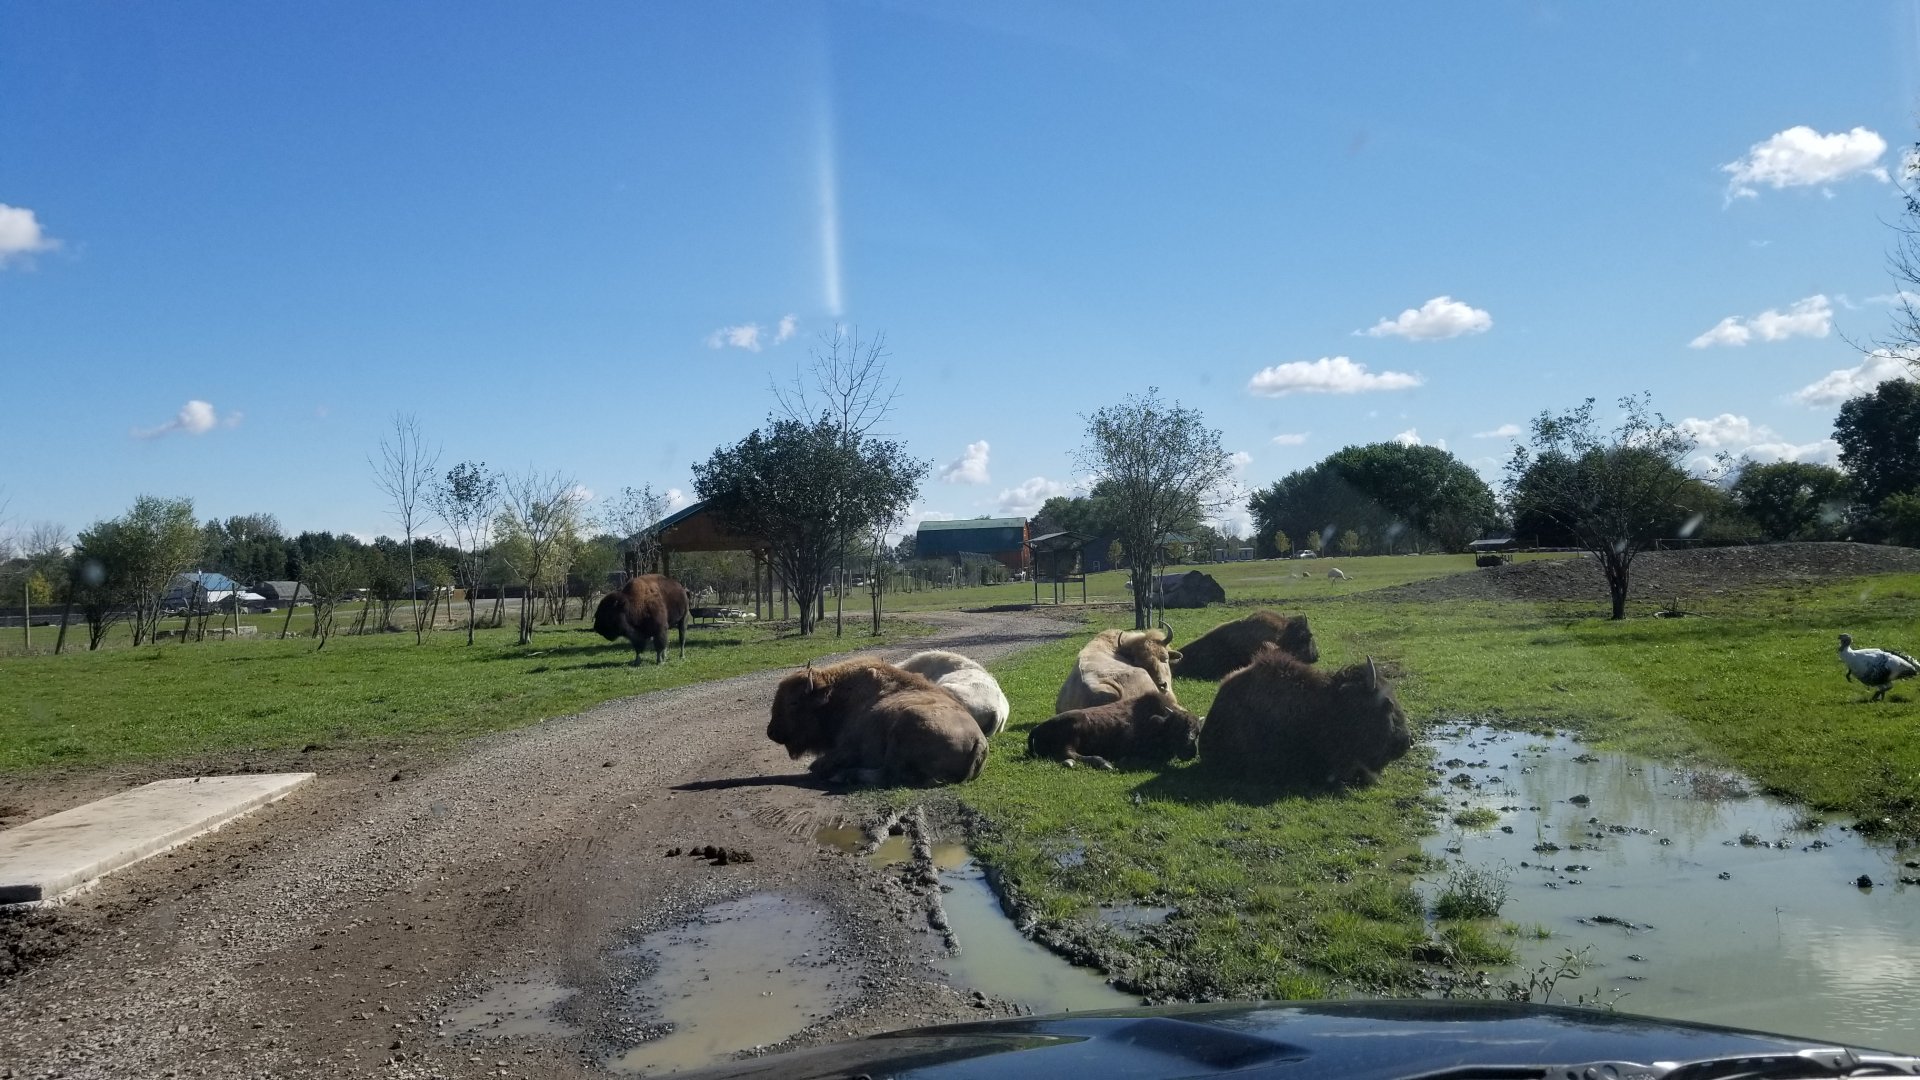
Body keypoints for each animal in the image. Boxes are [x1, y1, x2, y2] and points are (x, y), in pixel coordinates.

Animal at [767, 658, 986, 787]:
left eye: (794, 702)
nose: (771, 732)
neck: (838, 695)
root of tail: (978, 740)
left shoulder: (848, 746)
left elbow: (821, 764)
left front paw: (820, 768)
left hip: (904, 729)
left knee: (889, 775)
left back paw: (846, 775)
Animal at [1026, 690, 1201, 770]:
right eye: (1176, 727)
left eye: (1197, 732)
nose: (1190, 751)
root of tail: (1038, 727)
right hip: (1073, 732)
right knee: (1069, 754)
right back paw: (1104, 763)